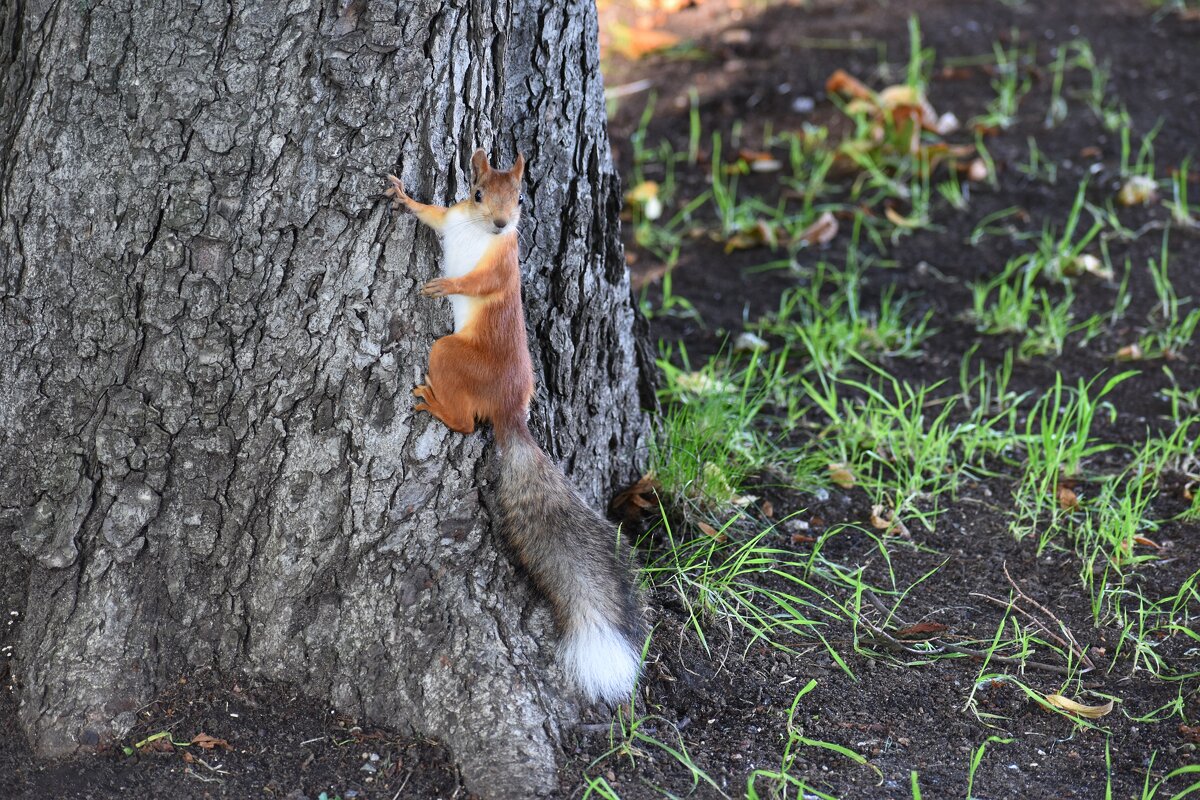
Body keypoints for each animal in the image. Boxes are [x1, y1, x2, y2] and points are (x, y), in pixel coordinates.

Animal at [388, 151, 643, 705]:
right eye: (479, 193)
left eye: (521, 198)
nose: (505, 224)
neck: (480, 233)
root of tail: (509, 411)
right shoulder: (452, 218)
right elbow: (430, 214)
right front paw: (402, 196)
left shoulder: (504, 267)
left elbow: (481, 285)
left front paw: (447, 285)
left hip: (449, 355)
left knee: (466, 423)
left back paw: (435, 404)